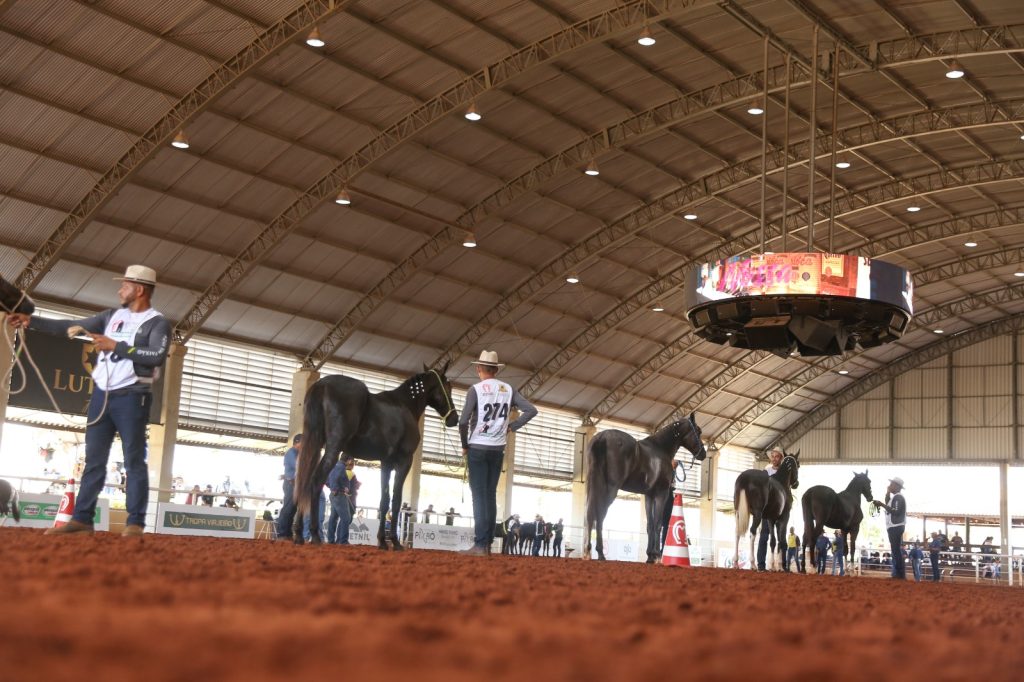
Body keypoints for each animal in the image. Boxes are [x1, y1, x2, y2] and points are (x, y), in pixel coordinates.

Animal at [294, 360, 458, 548]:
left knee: (304, 480)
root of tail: (321, 385)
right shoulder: (404, 461)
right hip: (333, 448)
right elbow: (396, 500)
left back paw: (298, 534)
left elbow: (384, 500)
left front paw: (382, 541)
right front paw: (395, 541)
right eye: (448, 386)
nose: (454, 419)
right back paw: (314, 535)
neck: (405, 405)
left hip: (315, 444)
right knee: (315, 480)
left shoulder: (386, 463)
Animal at [585, 411, 704, 561]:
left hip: (594, 484)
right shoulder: (661, 494)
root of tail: (602, 437)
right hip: (610, 488)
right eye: (698, 431)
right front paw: (656, 555)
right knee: (600, 514)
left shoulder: (649, 495)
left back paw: (588, 551)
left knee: (590, 513)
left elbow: (650, 525)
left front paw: (650, 555)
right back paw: (600, 553)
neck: (661, 448)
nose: (703, 454)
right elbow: (658, 524)